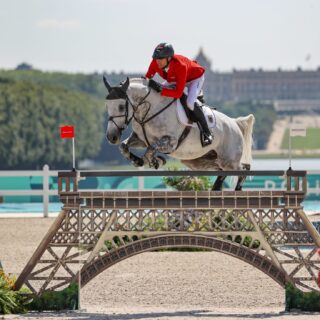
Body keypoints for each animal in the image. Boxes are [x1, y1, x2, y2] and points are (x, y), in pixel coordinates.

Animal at [104, 77, 254, 190]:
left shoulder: (171, 142)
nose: (112, 137)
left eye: (121, 107)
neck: (150, 110)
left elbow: (151, 149)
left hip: (228, 160)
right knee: (223, 172)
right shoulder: (141, 139)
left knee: (244, 170)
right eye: (107, 106)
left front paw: (156, 161)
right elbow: (124, 146)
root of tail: (234, 122)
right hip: (201, 161)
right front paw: (139, 160)